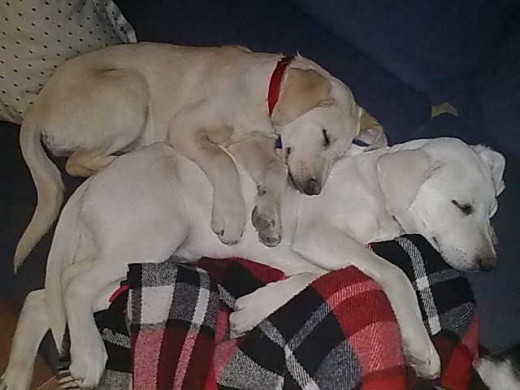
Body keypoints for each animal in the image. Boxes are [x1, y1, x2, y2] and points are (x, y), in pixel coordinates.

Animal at [0, 138, 504, 390]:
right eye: (462, 207)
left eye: (492, 212)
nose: (489, 265)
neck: (375, 187)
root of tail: (91, 182)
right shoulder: (319, 236)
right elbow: (391, 274)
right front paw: (421, 349)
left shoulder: (301, 250)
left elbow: (315, 276)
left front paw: (251, 311)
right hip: (150, 236)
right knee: (72, 283)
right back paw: (88, 357)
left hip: (124, 259)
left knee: (44, 298)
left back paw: (17, 373)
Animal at [15, 42, 378, 268]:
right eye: (325, 136)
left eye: (339, 155)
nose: (313, 190)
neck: (264, 94)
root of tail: (36, 107)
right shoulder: (186, 128)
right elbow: (221, 161)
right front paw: (231, 218)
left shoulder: (251, 144)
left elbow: (274, 169)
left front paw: (267, 218)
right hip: (130, 89)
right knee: (76, 162)